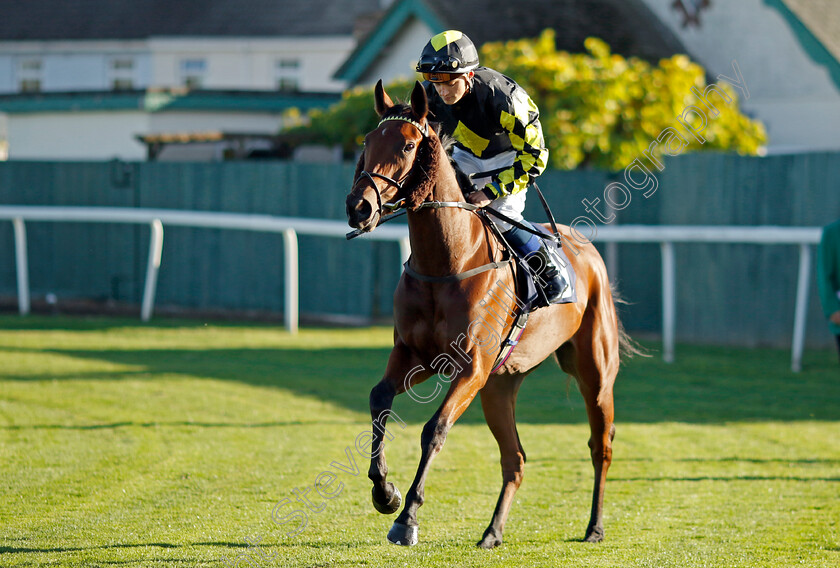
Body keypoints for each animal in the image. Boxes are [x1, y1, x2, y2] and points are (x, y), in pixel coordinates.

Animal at [346, 81, 632, 552]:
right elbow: (378, 399)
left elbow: (434, 429)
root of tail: (587, 248)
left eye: (407, 145)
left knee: (600, 446)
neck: (449, 261)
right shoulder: (415, 356)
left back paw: (594, 527)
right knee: (515, 458)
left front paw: (406, 519)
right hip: (500, 385)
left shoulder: (472, 366)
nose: (359, 207)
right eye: (367, 142)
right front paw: (384, 492)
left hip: (594, 372)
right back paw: (492, 531)